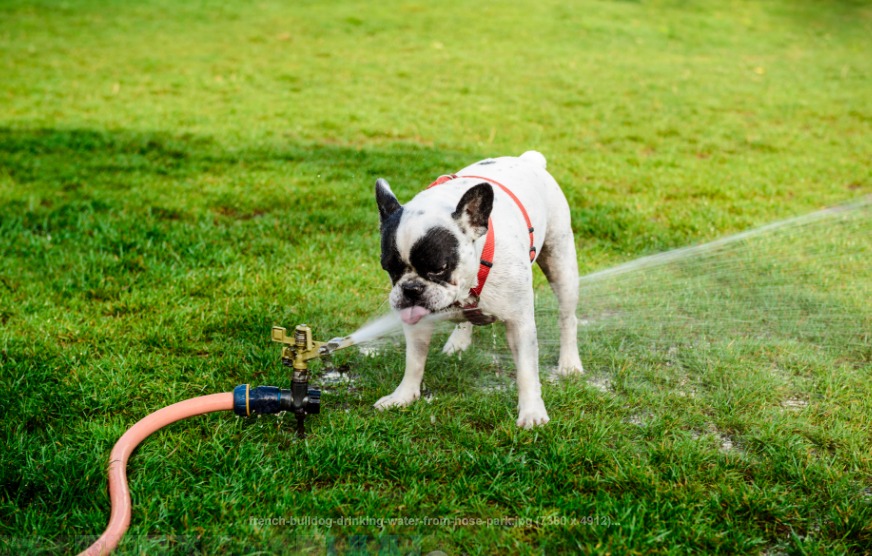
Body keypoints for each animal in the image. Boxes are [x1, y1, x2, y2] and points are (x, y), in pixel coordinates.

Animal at [372, 150, 584, 428]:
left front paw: (531, 412)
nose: (411, 289)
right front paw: (403, 396)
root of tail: (528, 159)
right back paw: (458, 341)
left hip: (561, 264)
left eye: (439, 268)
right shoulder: (417, 322)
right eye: (388, 267)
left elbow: (527, 370)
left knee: (567, 318)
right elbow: (414, 361)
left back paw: (569, 364)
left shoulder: (520, 323)